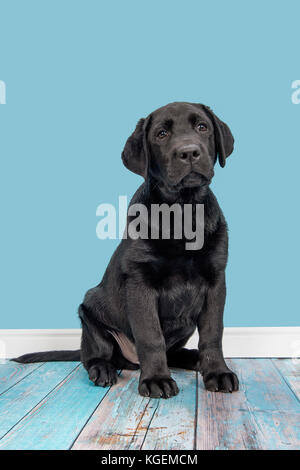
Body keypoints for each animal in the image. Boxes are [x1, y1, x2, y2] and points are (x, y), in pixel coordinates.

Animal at [14, 102, 239, 396]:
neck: (181, 211)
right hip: (89, 313)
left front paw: (218, 372)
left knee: (173, 352)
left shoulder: (215, 280)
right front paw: (156, 379)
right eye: (162, 134)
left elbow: (213, 333)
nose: (189, 152)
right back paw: (103, 370)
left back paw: (193, 357)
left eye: (202, 127)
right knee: (93, 356)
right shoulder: (140, 283)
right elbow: (151, 336)